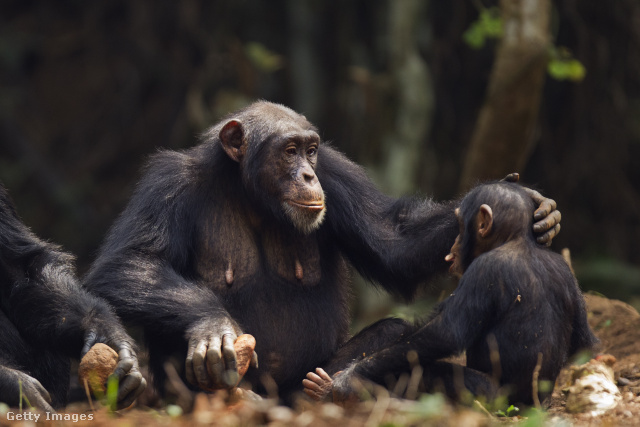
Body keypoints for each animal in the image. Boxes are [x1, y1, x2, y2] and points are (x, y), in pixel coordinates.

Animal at [84, 101, 560, 402]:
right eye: (289, 150)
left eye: (311, 150)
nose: (308, 176)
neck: (252, 194)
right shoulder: (167, 183)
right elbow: (130, 263)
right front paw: (212, 326)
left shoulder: (336, 172)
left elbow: (395, 243)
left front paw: (537, 207)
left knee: (389, 331)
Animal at [302, 182, 596, 406]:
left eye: (461, 226)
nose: (453, 244)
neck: (517, 241)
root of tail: (534, 405)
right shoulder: (567, 274)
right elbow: (584, 342)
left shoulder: (483, 272)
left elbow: (444, 333)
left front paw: (347, 379)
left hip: (490, 396)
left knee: (428, 371)